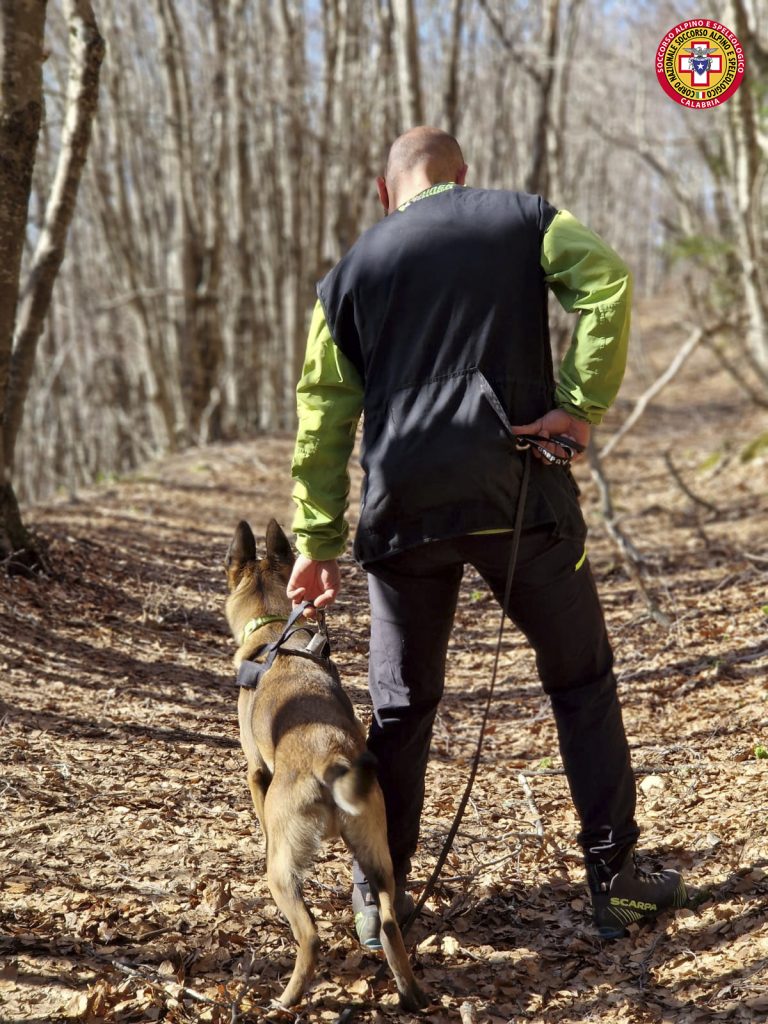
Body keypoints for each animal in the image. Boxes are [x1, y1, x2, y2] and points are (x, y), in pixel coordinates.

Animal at [222, 520, 428, 1007]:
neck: (274, 631)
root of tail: (330, 759)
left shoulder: (255, 773)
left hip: (283, 873)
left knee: (311, 936)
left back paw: (288, 998)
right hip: (377, 855)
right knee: (388, 921)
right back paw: (410, 991)